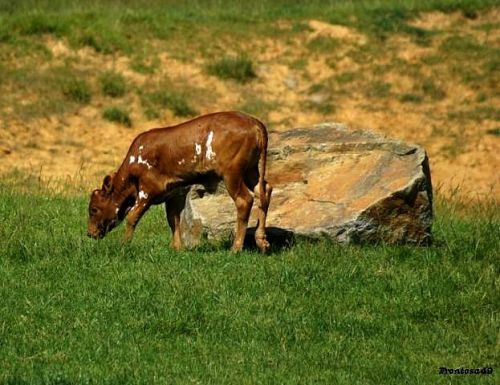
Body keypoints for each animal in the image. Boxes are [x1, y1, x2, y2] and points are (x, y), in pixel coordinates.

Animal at [88, 110, 272, 252]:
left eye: (93, 209)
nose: (89, 233)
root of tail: (254, 123)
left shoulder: (147, 190)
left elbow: (132, 216)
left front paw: (124, 245)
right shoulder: (174, 192)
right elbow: (173, 220)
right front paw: (177, 248)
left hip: (232, 173)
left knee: (244, 200)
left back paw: (236, 247)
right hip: (252, 170)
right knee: (265, 191)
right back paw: (262, 242)